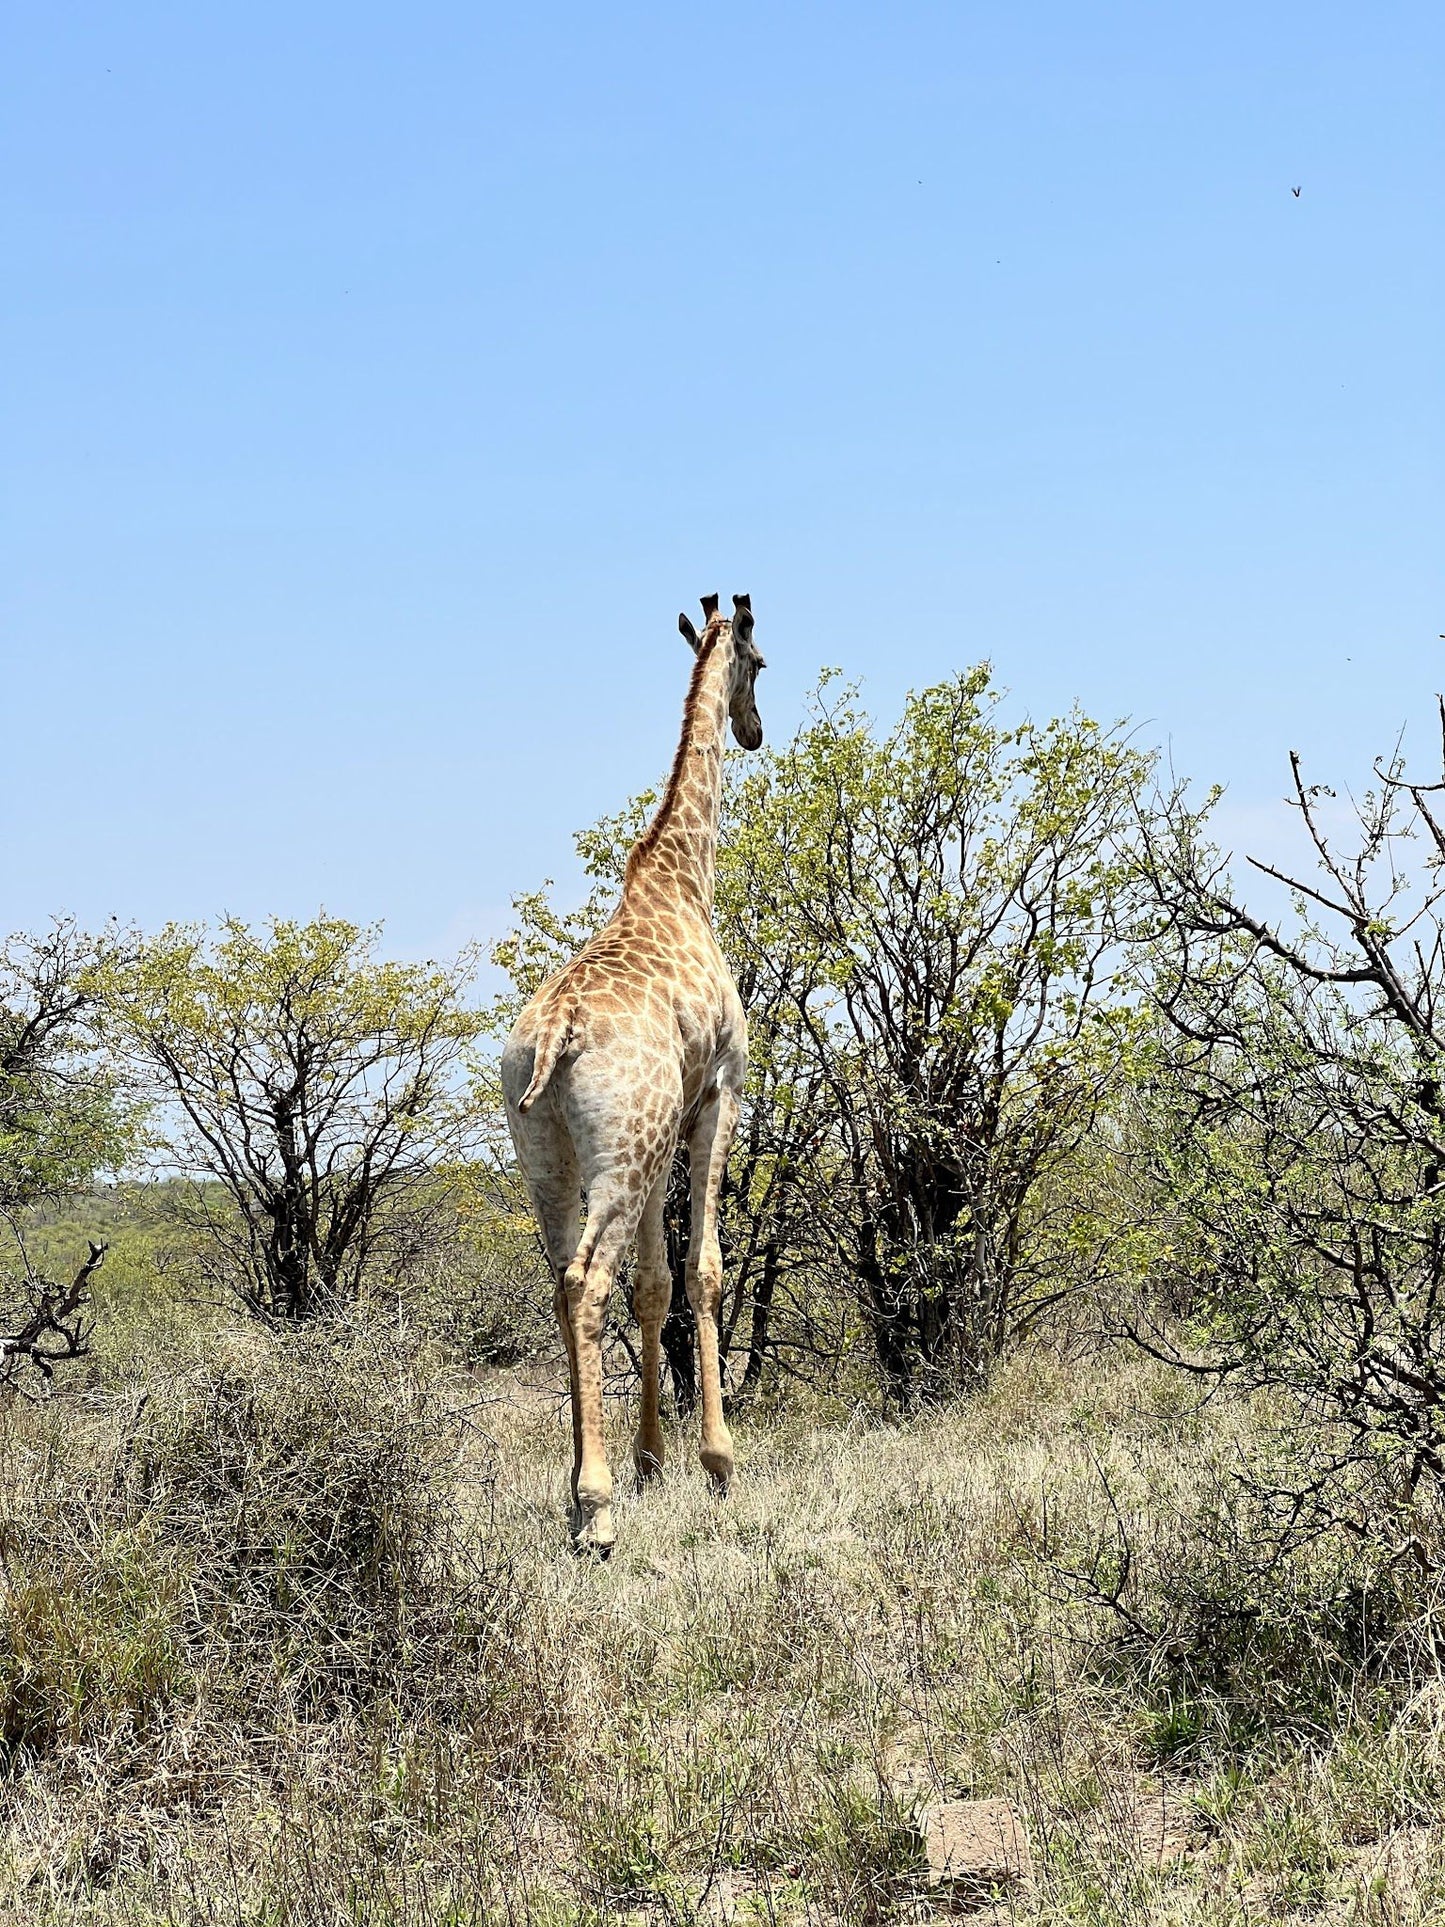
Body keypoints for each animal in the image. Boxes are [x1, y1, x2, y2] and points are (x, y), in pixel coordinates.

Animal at [500, 585, 762, 1549]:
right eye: (762, 663)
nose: (754, 729)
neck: (683, 879)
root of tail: (556, 1032)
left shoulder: (664, 1124)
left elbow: (655, 1285)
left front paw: (655, 1459)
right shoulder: (718, 1094)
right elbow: (704, 1269)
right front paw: (717, 1463)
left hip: (548, 1151)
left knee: (558, 1280)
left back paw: (586, 1484)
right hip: (618, 1151)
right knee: (586, 1280)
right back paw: (595, 1508)